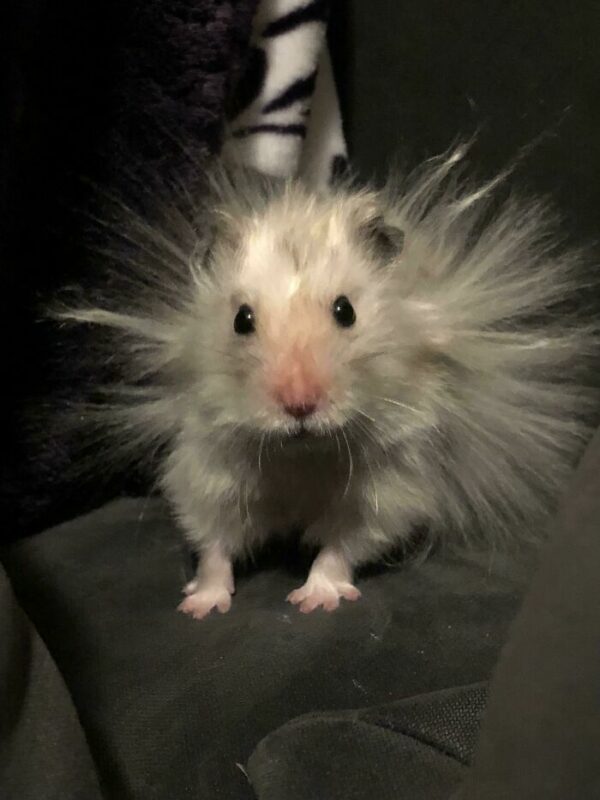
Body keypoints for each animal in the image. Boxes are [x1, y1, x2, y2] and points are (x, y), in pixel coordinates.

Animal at [56, 146, 599, 618]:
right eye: (241, 319)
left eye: (346, 310)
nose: (300, 405)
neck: (301, 454)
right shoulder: (207, 471)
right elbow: (214, 545)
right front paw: (199, 607)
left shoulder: (385, 490)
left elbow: (340, 546)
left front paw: (313, 601)